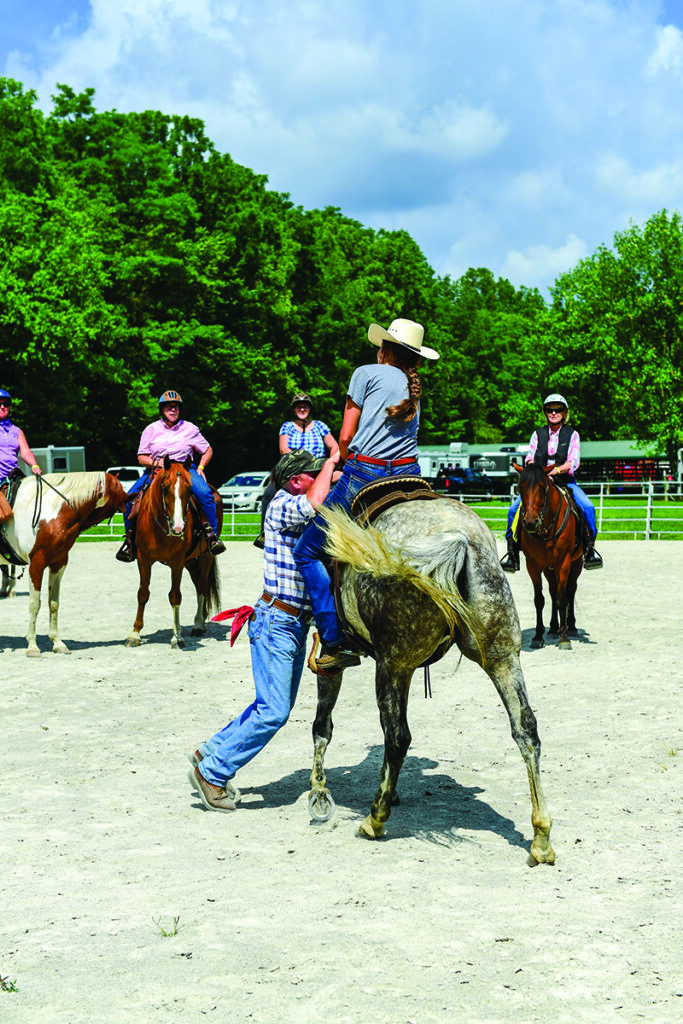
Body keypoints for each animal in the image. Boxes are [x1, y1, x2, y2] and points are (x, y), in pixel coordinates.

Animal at [2, 471, 127, 655]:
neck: (50, 511)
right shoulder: (36, 564)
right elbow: (35, 604)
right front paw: (32, 645)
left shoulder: (58, 563)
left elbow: (53, 603)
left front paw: (57, 642)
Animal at [126, 458, 223, 647]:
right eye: (164, 487)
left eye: (189, 489)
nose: (178, 527)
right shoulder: (143, 559)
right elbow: (143, 593)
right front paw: (135, 633)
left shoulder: (177, 562)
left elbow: (175, 596)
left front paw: (177, 636)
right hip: (192, 561)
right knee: (198, 585)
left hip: (206, 557)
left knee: (201, 587)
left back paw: (198, 624)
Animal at [309, 495, 557, 864]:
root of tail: (459, 538)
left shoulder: (334, 657)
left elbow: (322, 726)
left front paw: (319, 789)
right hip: (502, 657)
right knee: (526, 730)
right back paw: (541, 837)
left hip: (392, 665)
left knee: (397, 737)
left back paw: (375, 819)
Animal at [516, 462, 585, 647]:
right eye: (520, 488)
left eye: (542, 488)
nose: (531, 522)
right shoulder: (533, 565)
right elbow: (539, 599)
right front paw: (538, 636)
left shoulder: (564, 563)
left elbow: (563, 598)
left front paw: (564, 638)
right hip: (548, 569)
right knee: (553, 592)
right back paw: (554, 628)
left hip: (576, 564)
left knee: (570, 591)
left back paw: (571, 627)